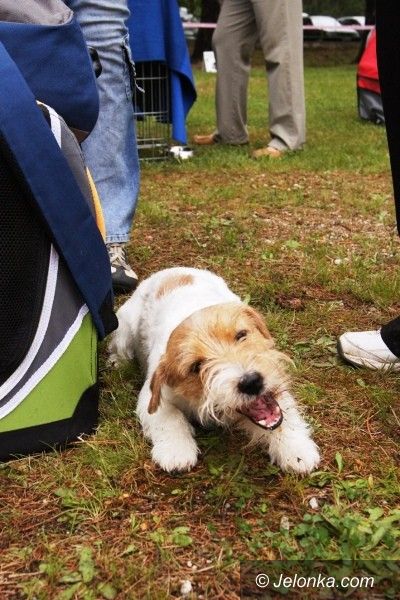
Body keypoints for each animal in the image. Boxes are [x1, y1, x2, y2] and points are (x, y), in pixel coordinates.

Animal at [108, 267, 320, 474]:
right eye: (196, 366)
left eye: (241, 335)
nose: (252, 382)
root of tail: (166, 271)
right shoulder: (152, 397)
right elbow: (169, 418)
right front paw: (176, 451)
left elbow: (285, 413)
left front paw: (296, 449)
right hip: (124, 329)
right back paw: (117, 362)